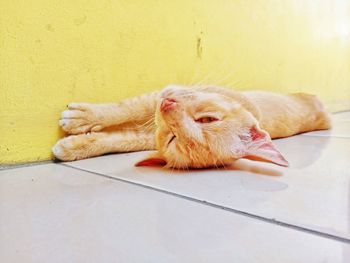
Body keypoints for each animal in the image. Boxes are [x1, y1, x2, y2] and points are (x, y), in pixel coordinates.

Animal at [52, 85, 330, 170]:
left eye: (173, 139)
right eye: (208, 119)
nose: (168, 107)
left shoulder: (147, 133)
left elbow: (120, 139)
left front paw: (73, 144)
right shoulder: (163, 92)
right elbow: (129, 108)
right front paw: (83, 118)